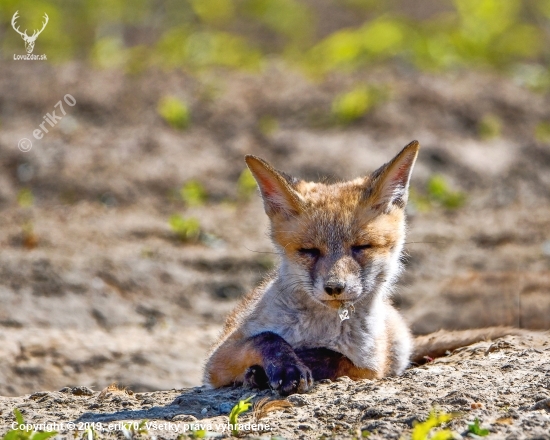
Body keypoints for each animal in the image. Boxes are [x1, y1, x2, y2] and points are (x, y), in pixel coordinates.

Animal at [204, 141, 532, 396]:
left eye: (361, 247)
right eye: (309, 251)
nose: (334, 287)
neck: (323, 329)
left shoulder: (371, 369)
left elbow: (336, 357)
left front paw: (301, 360)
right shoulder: (217, 360)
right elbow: (266, 338)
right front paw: (285, 366)